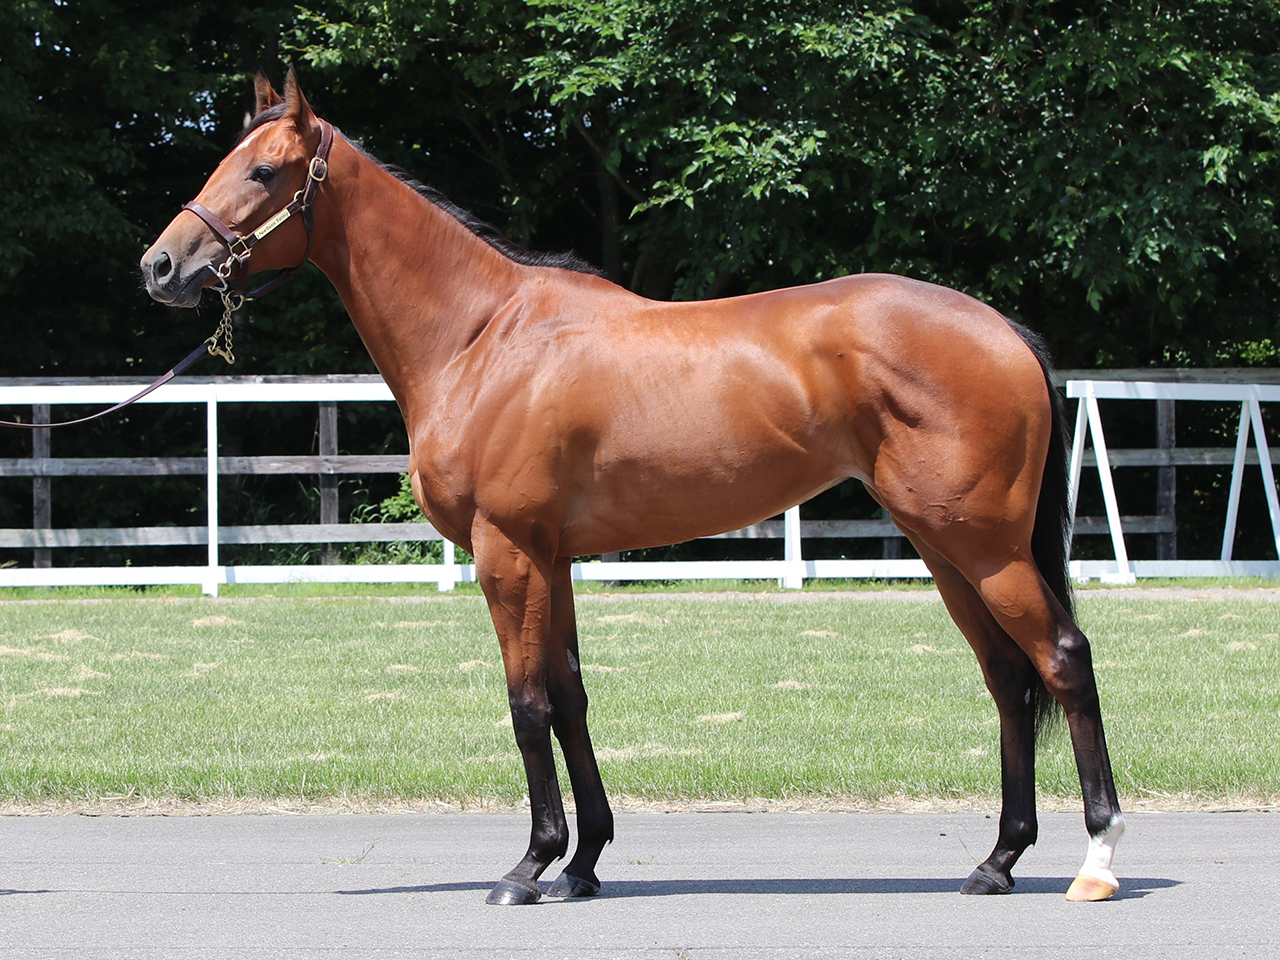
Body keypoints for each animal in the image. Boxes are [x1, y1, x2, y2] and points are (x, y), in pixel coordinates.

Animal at [141, 70, 1124, 905]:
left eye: (263, 170)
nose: (159, 267)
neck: (482, 337)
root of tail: (1001, 328)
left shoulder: (507, 553)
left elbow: (527, 705)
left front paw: (528, 867)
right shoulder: (553, 559)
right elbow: (571, 699)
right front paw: (582, 866)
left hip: (984, 546)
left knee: (1063, 660)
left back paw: (1097, 860)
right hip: (944, 546)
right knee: (1007, 677)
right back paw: (997, 861)